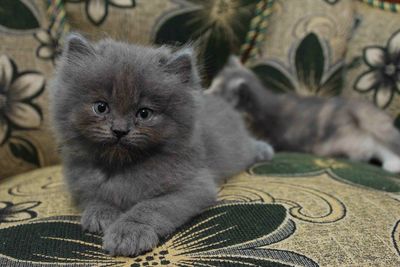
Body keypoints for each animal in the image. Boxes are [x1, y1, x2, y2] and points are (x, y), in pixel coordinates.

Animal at [50, 34, 274, 258]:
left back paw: (264, 150)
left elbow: (152, 207)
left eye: (144, 113)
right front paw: (101, 212)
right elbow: (94, 195)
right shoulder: (80, 184)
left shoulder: (193, 185)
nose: (120, 130)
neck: (122, 166)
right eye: (101, 107)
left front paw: (129, 232)